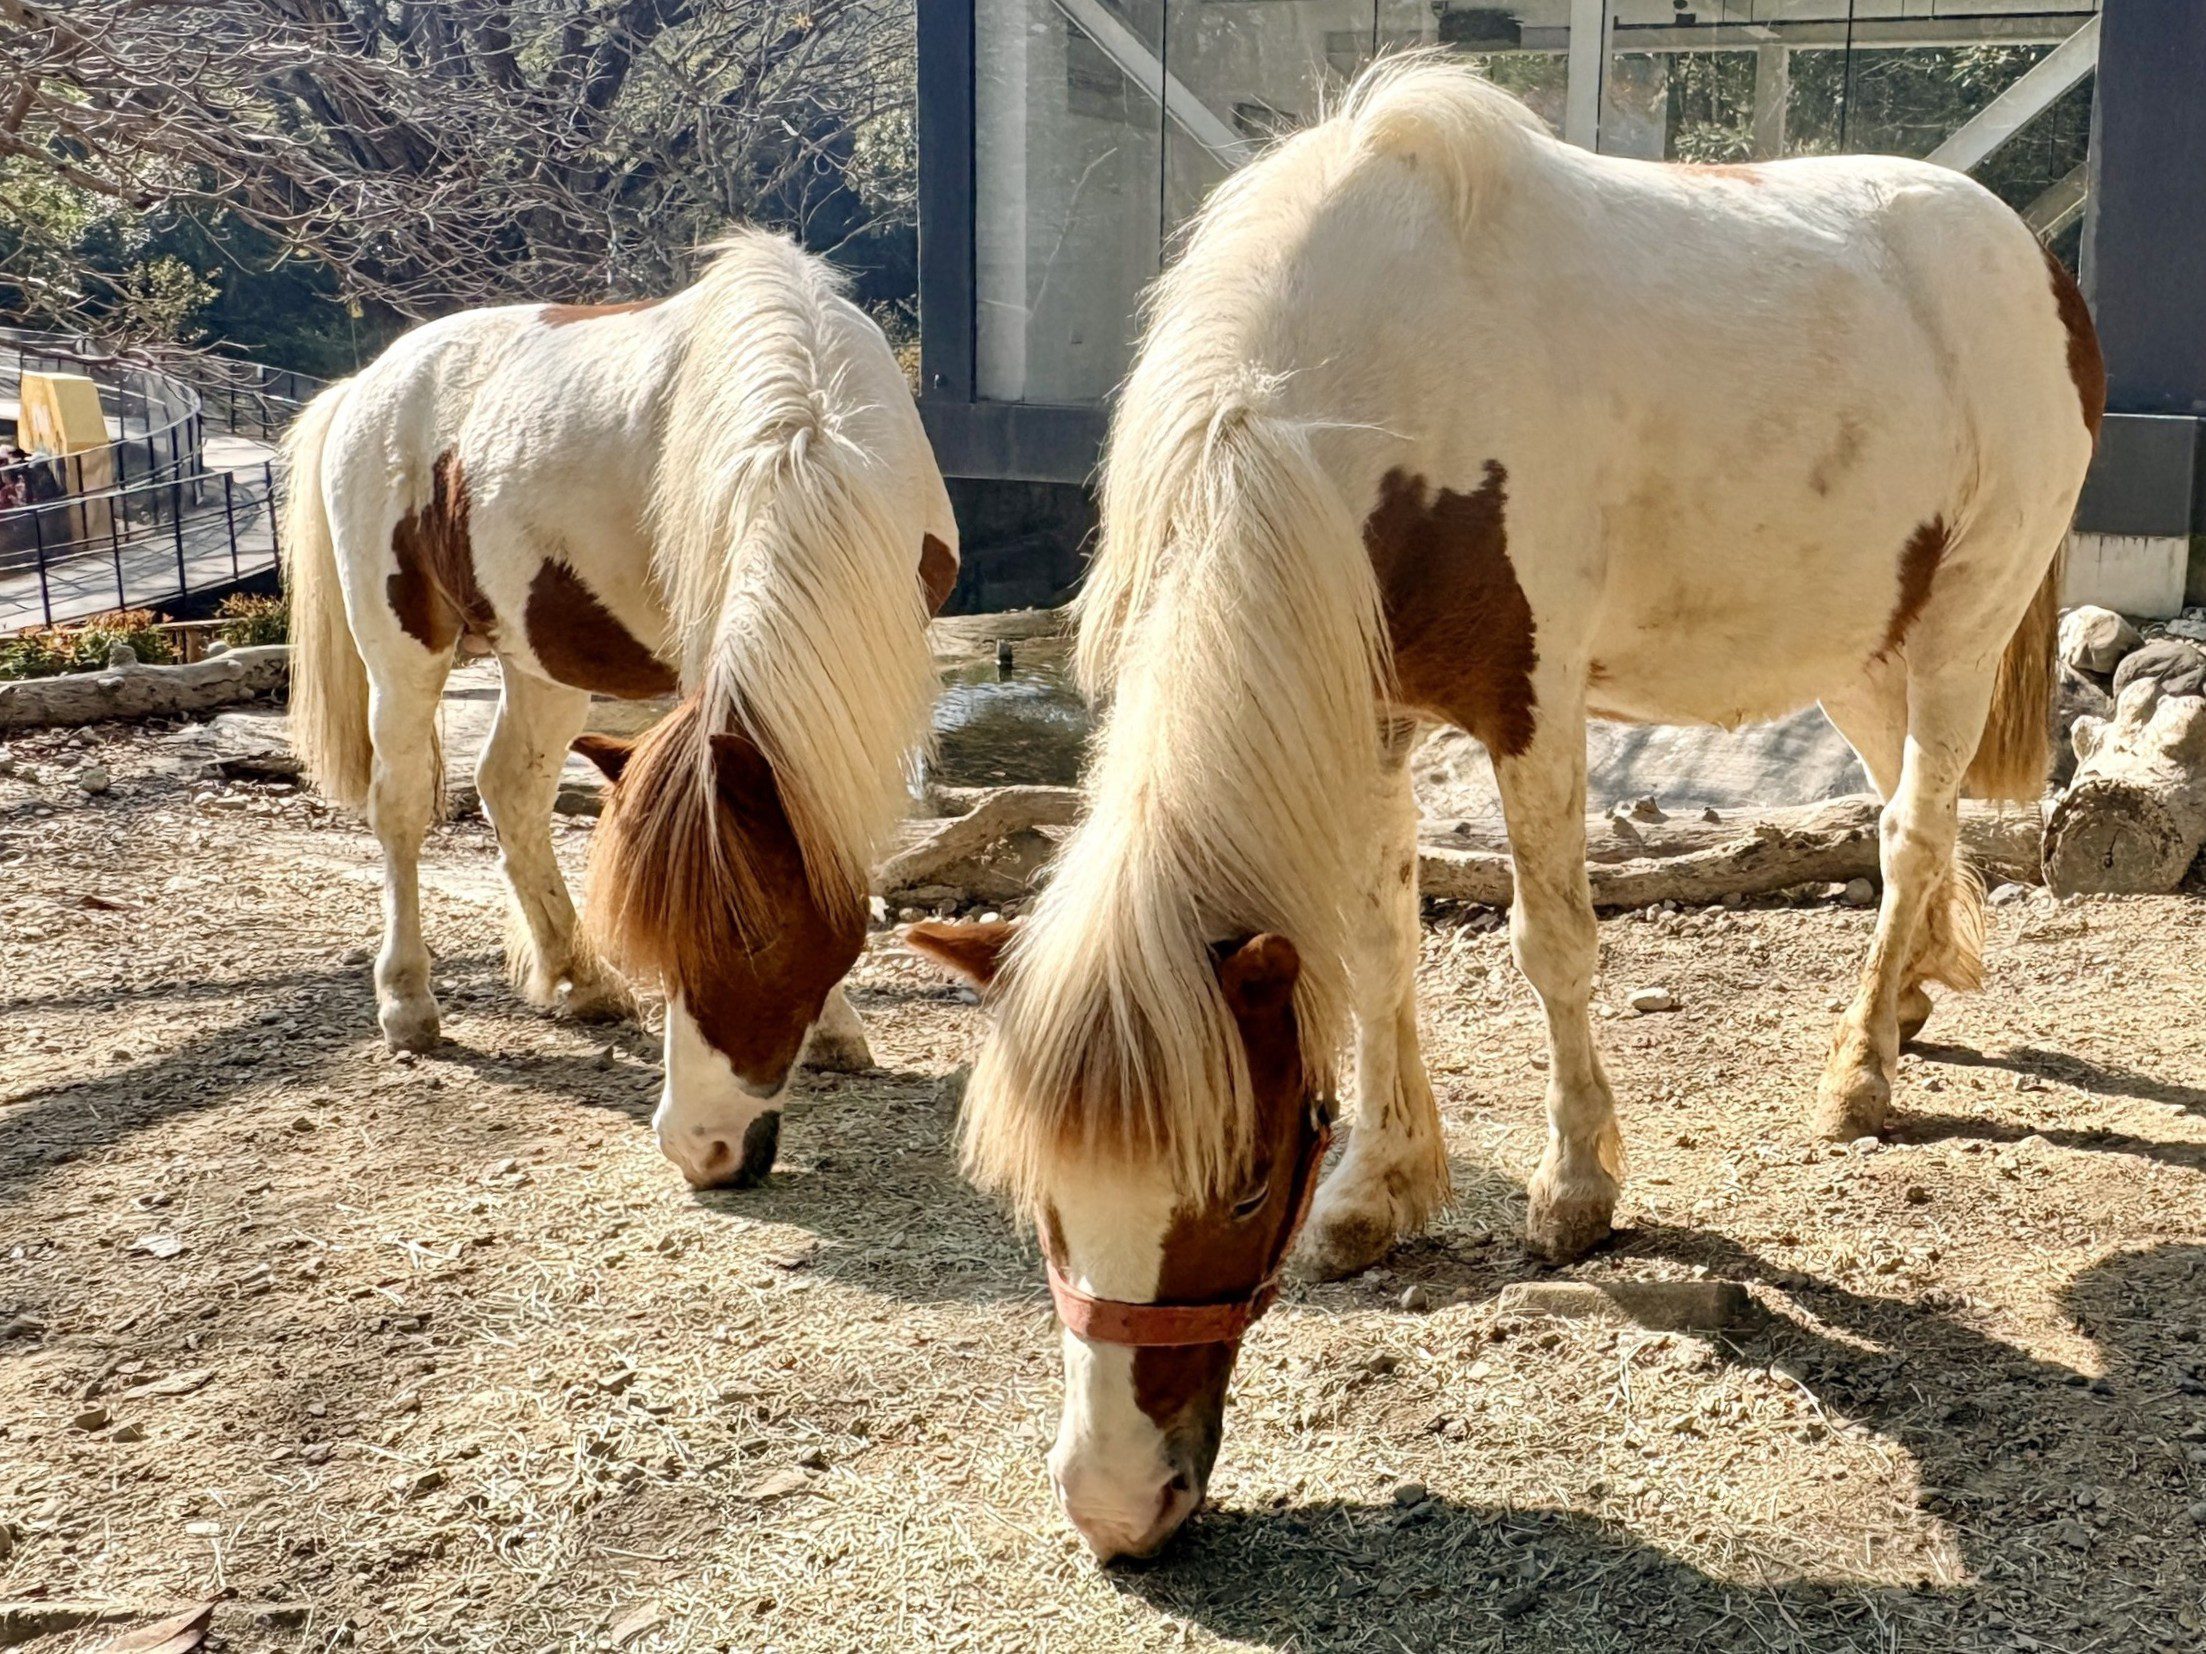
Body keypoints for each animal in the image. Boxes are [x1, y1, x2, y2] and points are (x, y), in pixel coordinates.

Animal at [280, 229, 959, 1189]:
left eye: (753, 940)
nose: (701, 1150)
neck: (811, 439)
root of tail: (366, 382)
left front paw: (834, 1030)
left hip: (541, 656)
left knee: (512, 788)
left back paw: (577, 977)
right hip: (403, 649)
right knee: (404, 806)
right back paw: (410, 1002)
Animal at [905, 57, 2102, 1560]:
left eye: (1243, 1180)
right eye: (1041, 1200)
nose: (1118, 1505)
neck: (1354, 387)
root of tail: (2032, 260)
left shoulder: (1529, 709)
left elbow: (1552, 947)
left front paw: (1576, 1188)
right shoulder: (1366, 711)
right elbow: (1376, 951)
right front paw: (1380, 1186)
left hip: (1958, 630)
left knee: (1906, 829)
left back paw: (1857, 1075)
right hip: (1856, 652)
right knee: (1911, 814)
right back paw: (1911, 998)